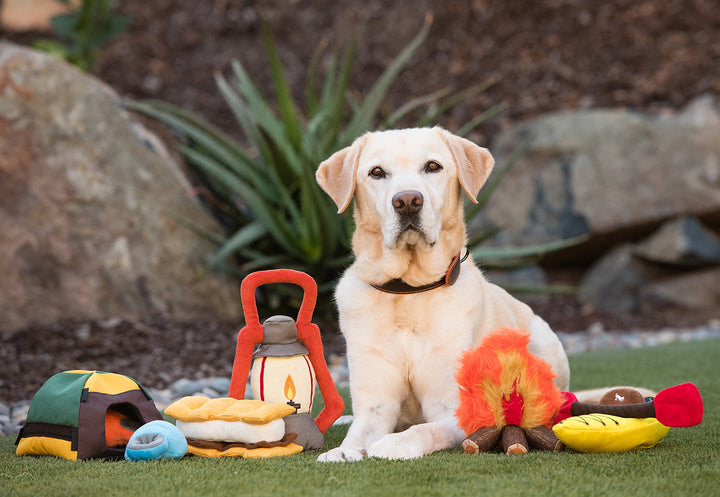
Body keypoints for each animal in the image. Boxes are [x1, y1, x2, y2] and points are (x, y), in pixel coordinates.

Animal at [316, 128, 568, 462]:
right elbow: (358, 433)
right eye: (377, 172)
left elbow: (426, 430)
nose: (408, 201)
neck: (408, 291)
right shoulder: (375, 408)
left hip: (544, 343)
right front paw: (344, 451)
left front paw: (394, 443)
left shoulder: (455, 409)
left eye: (433, 166)